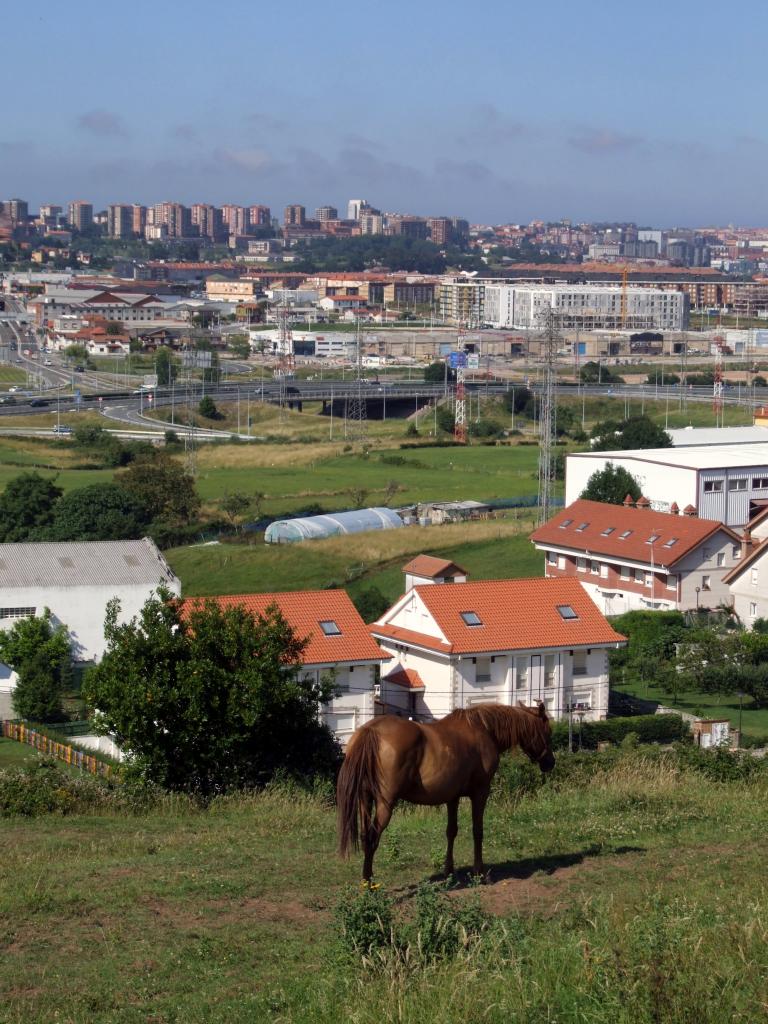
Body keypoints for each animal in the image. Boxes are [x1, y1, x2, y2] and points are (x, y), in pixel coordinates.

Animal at [339, 704, 557, 880]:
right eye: (547, 732)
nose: (550, 763)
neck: (485, 730)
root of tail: (370, 731)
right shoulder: (481, 792)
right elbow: (478, 831)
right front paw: (479, 871)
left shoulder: (452, 797)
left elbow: (451, 831)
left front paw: (448, 870)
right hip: (385, 804)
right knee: (373, 837)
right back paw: (368, 882)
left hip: (365, 799)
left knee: (365, 836)